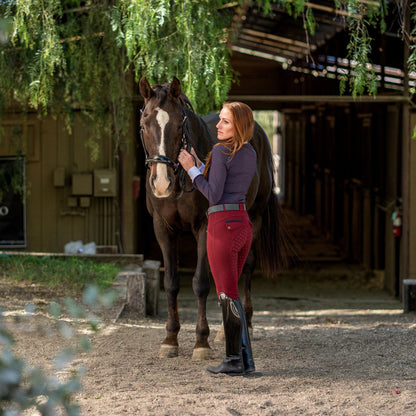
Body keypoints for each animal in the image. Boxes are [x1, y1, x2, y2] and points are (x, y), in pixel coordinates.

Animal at [139, 76, 282, 360]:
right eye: (143, 125)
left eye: (177, 124)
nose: (161, 184)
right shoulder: (163, 228)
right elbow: (171, 283)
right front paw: (170, 339)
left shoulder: (204, 227)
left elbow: (201, 283)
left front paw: (201, 342)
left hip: (255, 218)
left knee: (245, 267)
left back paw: (242, 326)